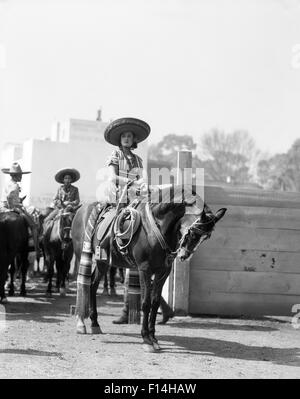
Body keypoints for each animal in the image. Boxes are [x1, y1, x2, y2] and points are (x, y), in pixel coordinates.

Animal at [74, 185, 226, 354]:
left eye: (206, 237)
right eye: (193, 232)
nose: (184, 255)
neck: (156, 228)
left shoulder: (163, 271)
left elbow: (155, 302)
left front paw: (154, 338)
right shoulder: (144, 270)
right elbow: (145, 303)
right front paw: (146, 339)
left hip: (103, 262)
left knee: (93, 286)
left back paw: (95, 323)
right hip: (86, 256)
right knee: (84, 284)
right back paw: (82, 324)